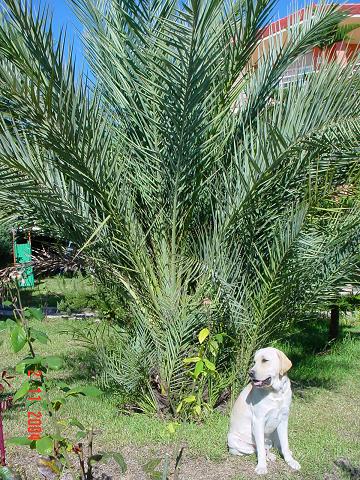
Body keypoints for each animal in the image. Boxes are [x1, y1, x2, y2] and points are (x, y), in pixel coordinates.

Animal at [228, 346, 300, 474]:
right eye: (254, 362)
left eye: (265, 360)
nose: (250, 373)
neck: (276, 392)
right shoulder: (258, 420)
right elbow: (260, 449)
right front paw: (262, 466)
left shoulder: (284, 419)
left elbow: (285, 444)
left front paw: (290, 461)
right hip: (233, 440)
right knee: (257, 448)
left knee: (272, 446)